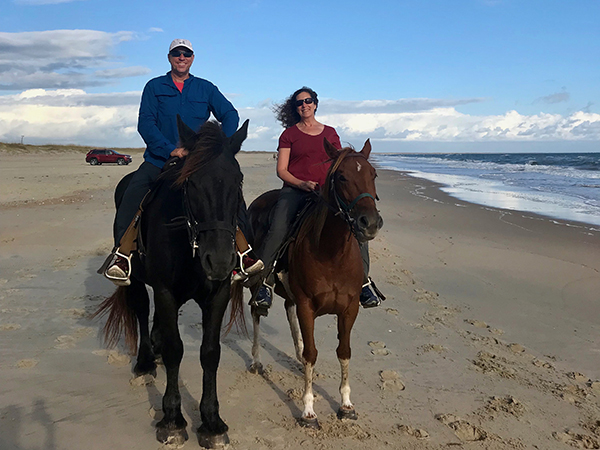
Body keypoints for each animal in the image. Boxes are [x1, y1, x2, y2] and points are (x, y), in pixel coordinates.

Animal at [234, 139, 384, 428]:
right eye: (341, 176)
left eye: (373, 175)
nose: (369, 223)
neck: (331, 253)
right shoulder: (307, 306)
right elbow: (312, 354)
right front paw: (308, 410)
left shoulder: (349, 309)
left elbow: (344, 351)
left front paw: (346, 405)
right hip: (257, 280)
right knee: (256, 311)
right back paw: (257, 360)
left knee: (288, 312)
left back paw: (295, 354)